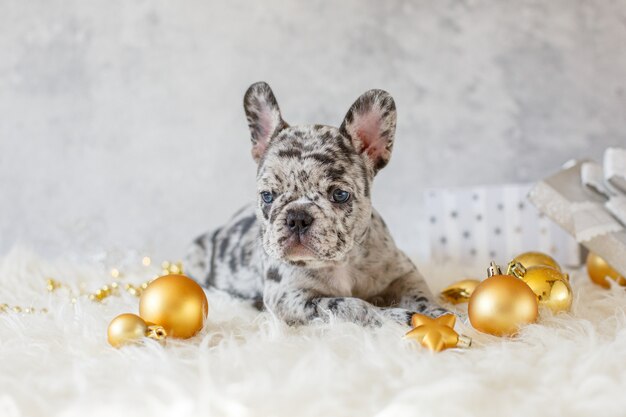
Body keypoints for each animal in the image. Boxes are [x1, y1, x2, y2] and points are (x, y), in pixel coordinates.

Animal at [185, 82, 448, 324]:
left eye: (340, 195)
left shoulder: (404, 273)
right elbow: (353, 306)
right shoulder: (292, 298)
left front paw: (442, 315)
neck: (343, 262)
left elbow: (422, 295)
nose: (297, 218)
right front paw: (396, 316)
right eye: (267, 196)